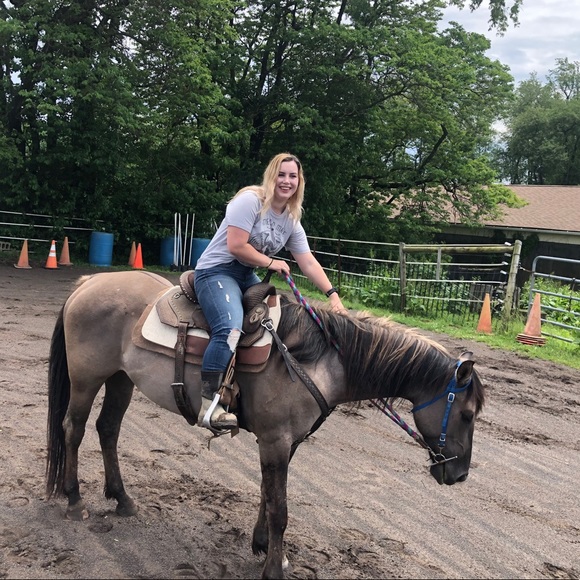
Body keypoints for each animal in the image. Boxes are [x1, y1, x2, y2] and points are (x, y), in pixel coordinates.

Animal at [46, 270, 485, 579]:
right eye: (467, 414)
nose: (460, 474)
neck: (319, 359)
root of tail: (89, 283)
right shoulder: (275, 440)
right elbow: (280, 509)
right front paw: (274, 567)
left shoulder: (284, 443)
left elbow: (267, 494)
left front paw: (261, 546)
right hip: (86, 380)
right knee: (73, 429)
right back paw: (74, 499)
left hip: (121, 380)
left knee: (107, 430)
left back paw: (122, 499)